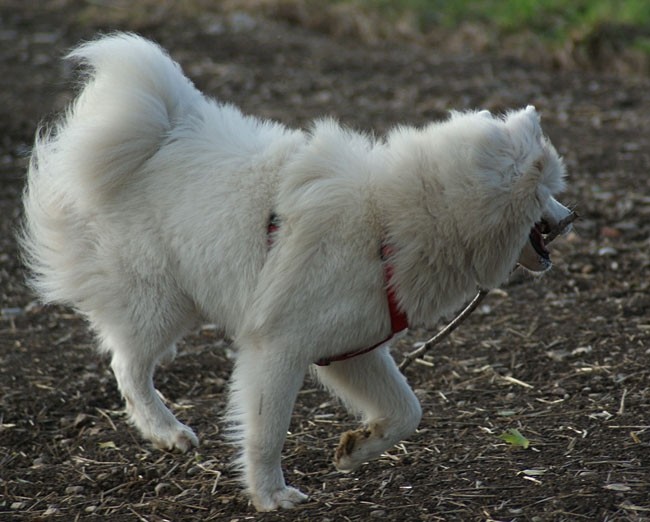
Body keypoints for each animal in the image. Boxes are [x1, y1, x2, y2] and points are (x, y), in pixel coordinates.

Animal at [20, 34, 568, 510]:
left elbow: (408, 411)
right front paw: (270, 496)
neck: (392, 217)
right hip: (161, 301)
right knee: (126, 366)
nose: (572, 217)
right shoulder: (279, 348)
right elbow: (266, 434)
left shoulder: (353, 348)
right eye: (549, 190)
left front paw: (357, 448)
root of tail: (157, 136)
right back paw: (167, 431)